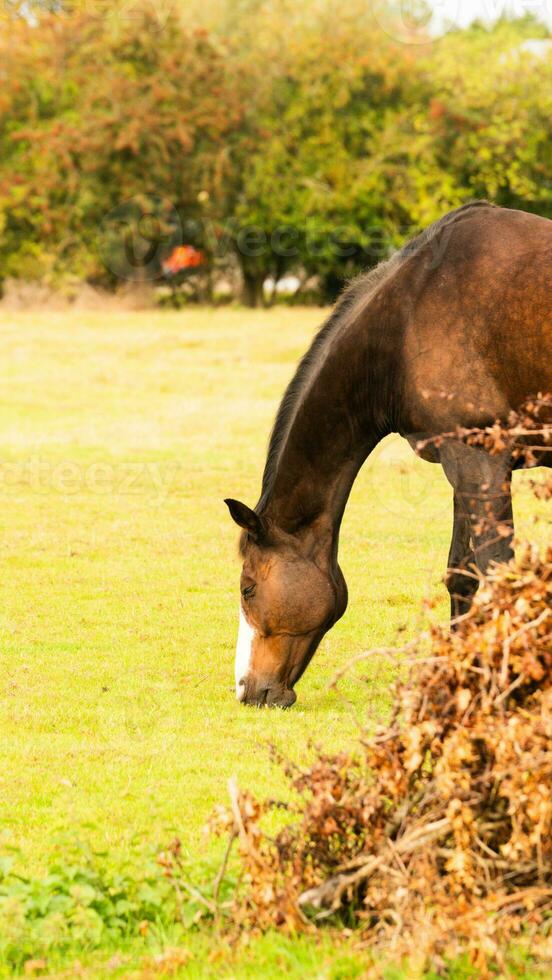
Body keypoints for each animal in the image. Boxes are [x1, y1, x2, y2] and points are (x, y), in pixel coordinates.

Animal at [225, 203, 552, 704]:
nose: (246, 689)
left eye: (248, 588)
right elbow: (462, 576)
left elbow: (498, 572)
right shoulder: (463, 461)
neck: (408, 315)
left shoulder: (480, 462)